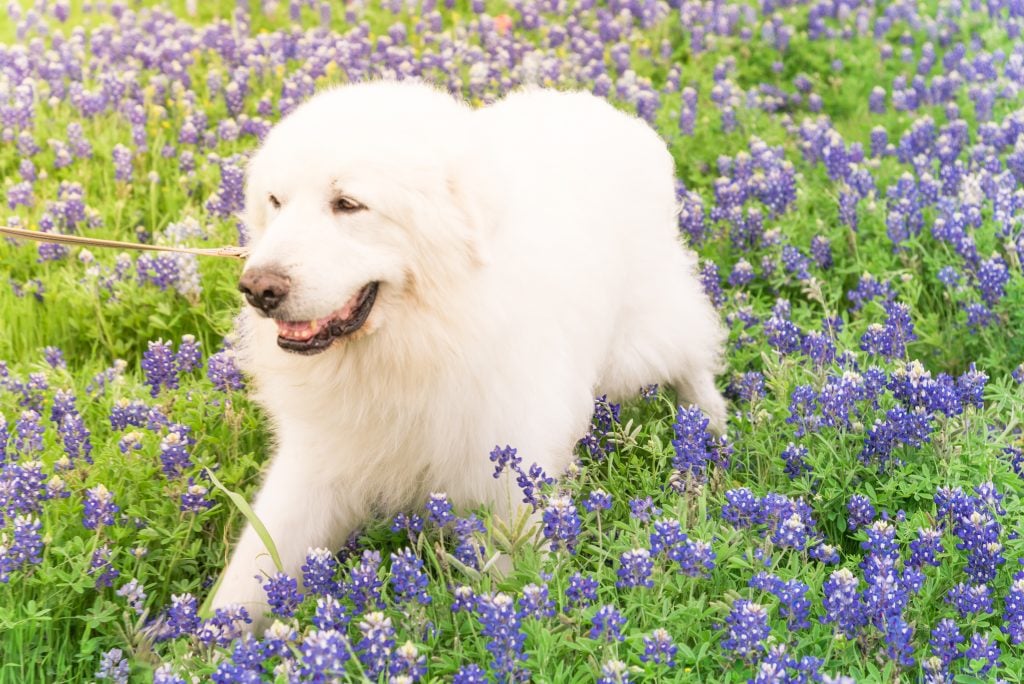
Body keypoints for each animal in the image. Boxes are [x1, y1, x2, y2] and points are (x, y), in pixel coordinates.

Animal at [211, 80, 729, 626]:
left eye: (348, 204)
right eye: (275, 201)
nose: (258, 288)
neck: (415, 340)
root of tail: (603, 108)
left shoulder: (505, 465)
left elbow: (513, 571)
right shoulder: (320, 460)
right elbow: (254, 566)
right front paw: (209, 635)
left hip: (641, 338)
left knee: (692, 351)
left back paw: (711, 424)